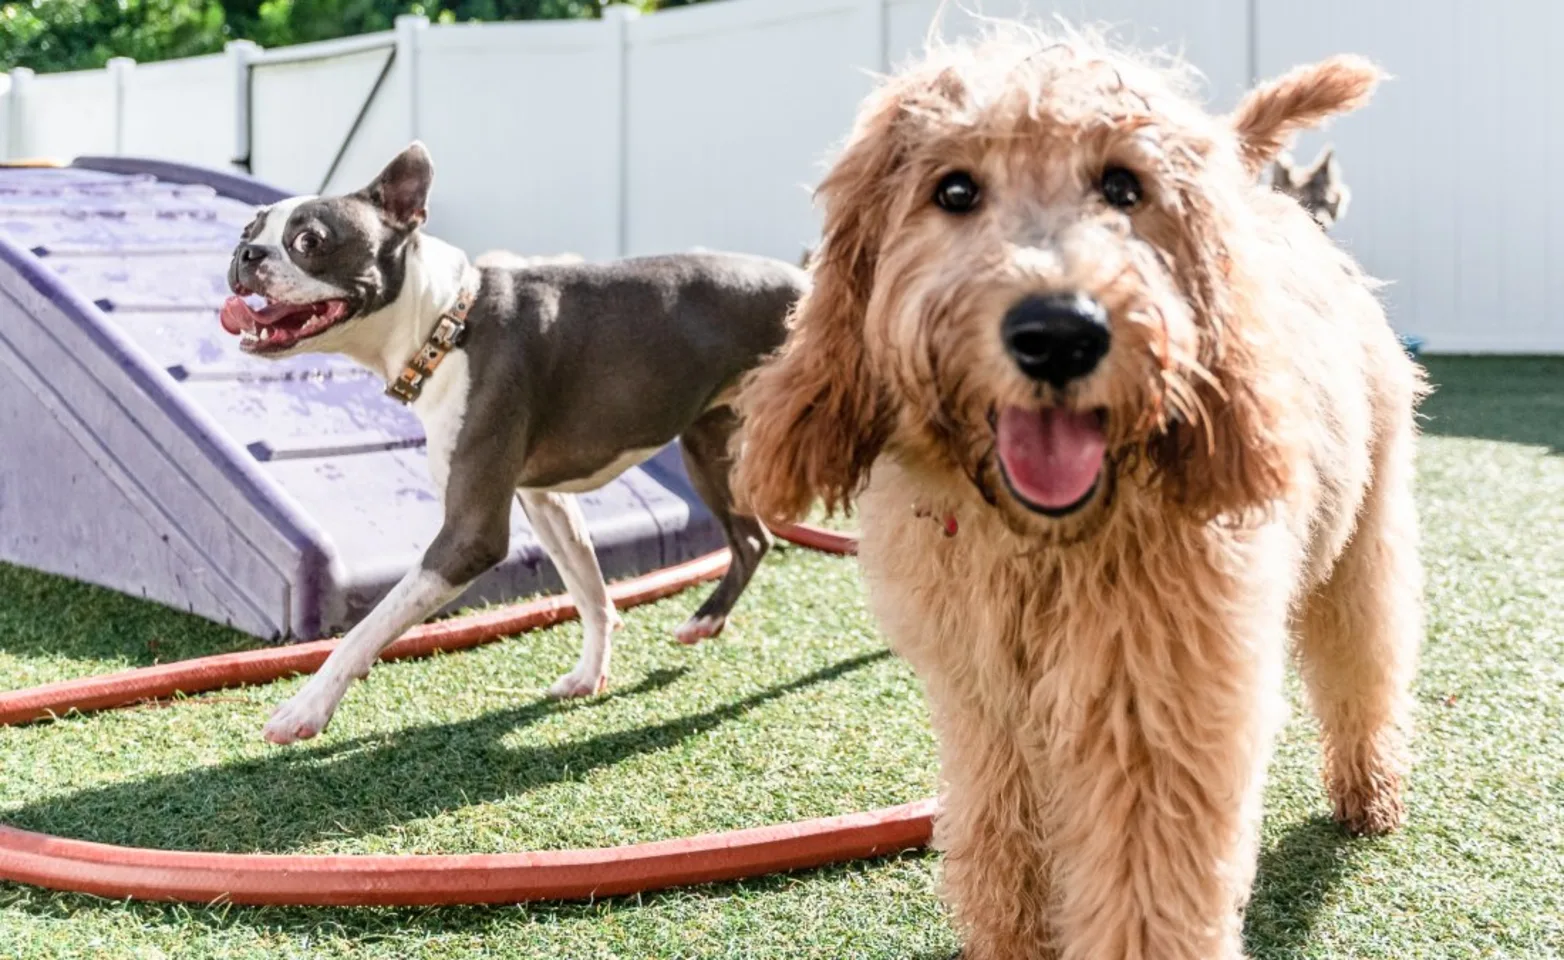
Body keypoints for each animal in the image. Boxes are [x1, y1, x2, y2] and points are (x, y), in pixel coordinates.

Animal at [223, 140, 794, 744]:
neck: (445, 325)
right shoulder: (546, 500)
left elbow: (369, 626)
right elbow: (590, 590)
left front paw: (305, 708)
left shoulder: (471, 534)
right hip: (707, 448)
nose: (246, 253)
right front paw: (589, 674)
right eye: (248, 229)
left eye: (309, 242)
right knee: (752, 538)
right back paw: (706, 620)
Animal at [731, 22, 1432, 960]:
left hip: (1365, 537)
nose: (1059, 333)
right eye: (954, 189)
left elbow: (1144, 891)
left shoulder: (1161, 712)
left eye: (1122, 186)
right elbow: (1000, 833)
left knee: (1367, 658)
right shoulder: (987, 704)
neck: (1043, 547)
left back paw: (1369, 789)